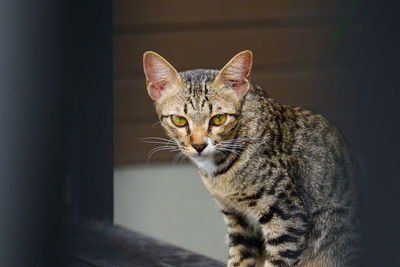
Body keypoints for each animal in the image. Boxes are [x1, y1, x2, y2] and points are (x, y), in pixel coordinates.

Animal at [143, 51, 360, 266]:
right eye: (179, 120)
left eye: (218, 119)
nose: (199, 145)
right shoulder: (237, 219)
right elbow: (239, 259)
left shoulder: (288, 216)